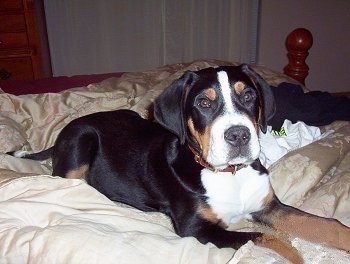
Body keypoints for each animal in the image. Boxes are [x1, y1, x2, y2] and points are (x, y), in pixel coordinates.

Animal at [12, 64, 348, 264]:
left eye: (249, 96)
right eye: (204, 103)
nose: (239, 135)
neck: (230, 176)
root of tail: (69, 127)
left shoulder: (267, 206)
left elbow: (324, 224)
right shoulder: (196, 228)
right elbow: (269, 238)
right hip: (82, 143)